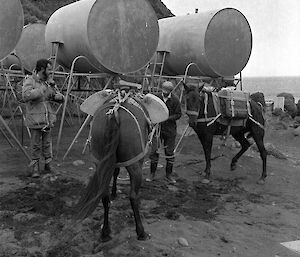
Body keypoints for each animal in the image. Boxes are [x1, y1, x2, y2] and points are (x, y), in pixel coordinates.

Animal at [75, 97, 150, 240]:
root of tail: (114, 113)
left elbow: (115, 172)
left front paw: (114, 192)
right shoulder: (138, 160)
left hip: (100, 160)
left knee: (104, 196)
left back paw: (105, 232)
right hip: (134, 164)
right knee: (133, 196)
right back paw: (141, 231)